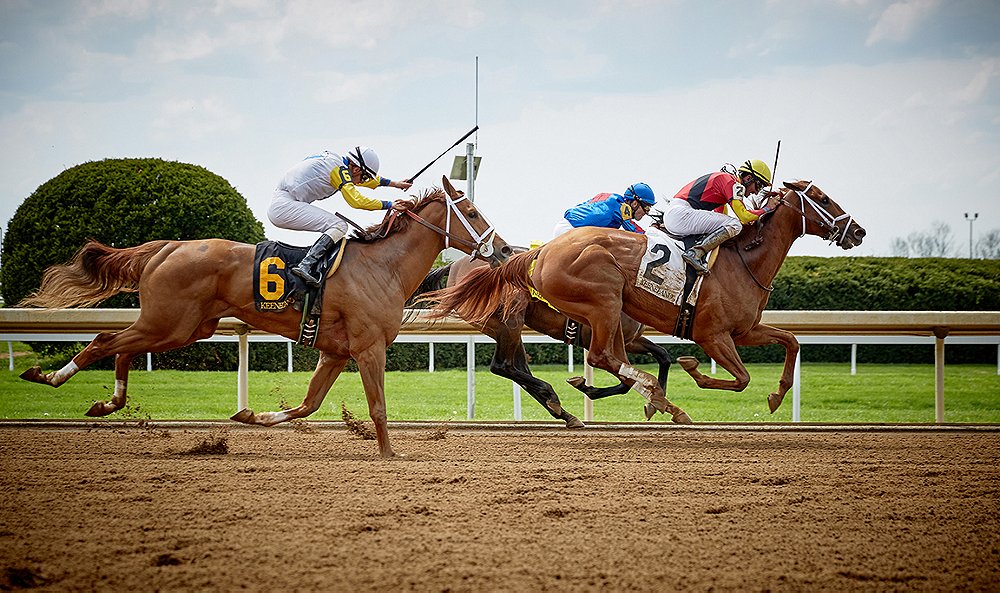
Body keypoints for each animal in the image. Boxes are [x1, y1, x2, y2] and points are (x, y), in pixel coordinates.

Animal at [19, 178, 512, 456]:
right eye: (471, 211)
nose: (505, 249)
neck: (382, 265)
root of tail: (167, 246)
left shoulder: (335, 352)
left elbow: (308, 404)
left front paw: (250, 416)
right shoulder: (369, 348)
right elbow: (378, 407)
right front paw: (390, 455)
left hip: (181, 328)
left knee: (122, 348)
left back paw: (109, 402)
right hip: (170, 322)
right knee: (106, 340)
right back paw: (49, 376)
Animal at [410, 254, 676, 426]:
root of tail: (455, 266)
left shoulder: (631, 339)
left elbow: (662, 356)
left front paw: (657, 402)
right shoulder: (604, 341)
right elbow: (627, 381)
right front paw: (586, 386)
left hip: (505, 328)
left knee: (518, 368)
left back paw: (562, 412)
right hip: (509, 317)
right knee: (502, 366)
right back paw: (553, 399)